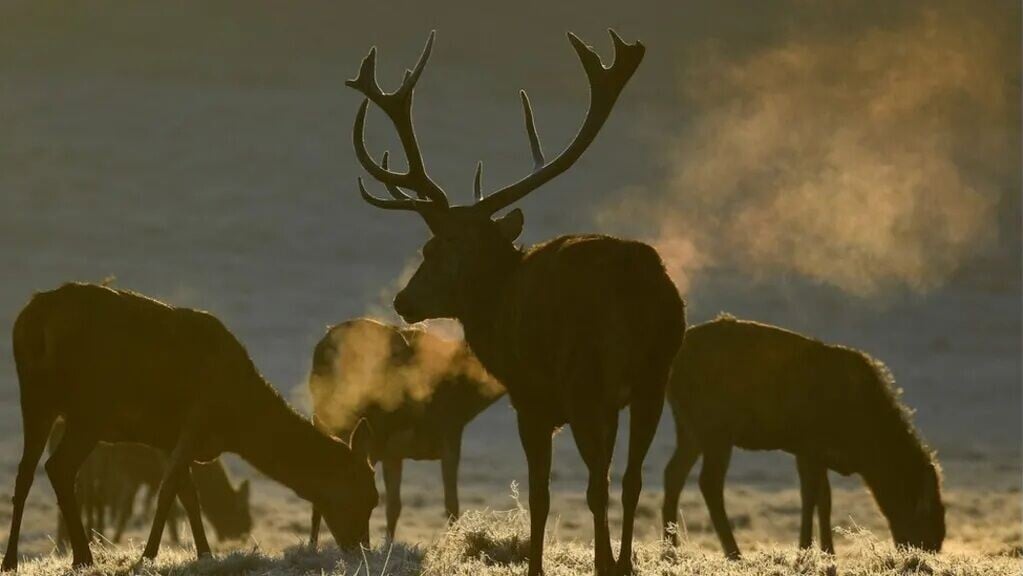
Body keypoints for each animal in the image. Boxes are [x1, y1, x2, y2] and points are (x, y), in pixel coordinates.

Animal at [1, 283, 378, 571]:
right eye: (366, 497)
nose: (361, 551)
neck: (237, 422)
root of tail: (33, 320)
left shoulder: (172, 437)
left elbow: (188, 495)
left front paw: (205, 554)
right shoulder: (197, 417)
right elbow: (169, 490)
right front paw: (147, 556)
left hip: (35, 398)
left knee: (25, 473)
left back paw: (11, 560)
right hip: (90, 408)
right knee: (58, 467)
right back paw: (82, 557)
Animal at [343, 30, 685, 576]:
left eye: (433, 249)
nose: (403, 300)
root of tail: (636, 280)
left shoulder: (530, 397)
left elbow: (541, 494)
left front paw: (538, 565)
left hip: (588, 382)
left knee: (599, 483)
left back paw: (606, 562)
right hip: (655, 376)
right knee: (631, 479)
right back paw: (623, 563)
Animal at [662, 315, 945, 558]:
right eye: (926, 522)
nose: (926, 552)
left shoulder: (811, 451)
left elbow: (824, 498)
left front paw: (827, 552)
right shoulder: (810, 443)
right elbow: (811, 496)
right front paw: (806, 550)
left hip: (688, 428)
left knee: (673, 473)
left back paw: (670, 550)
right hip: (716, 428)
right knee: (708, 482)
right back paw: (733, 553)